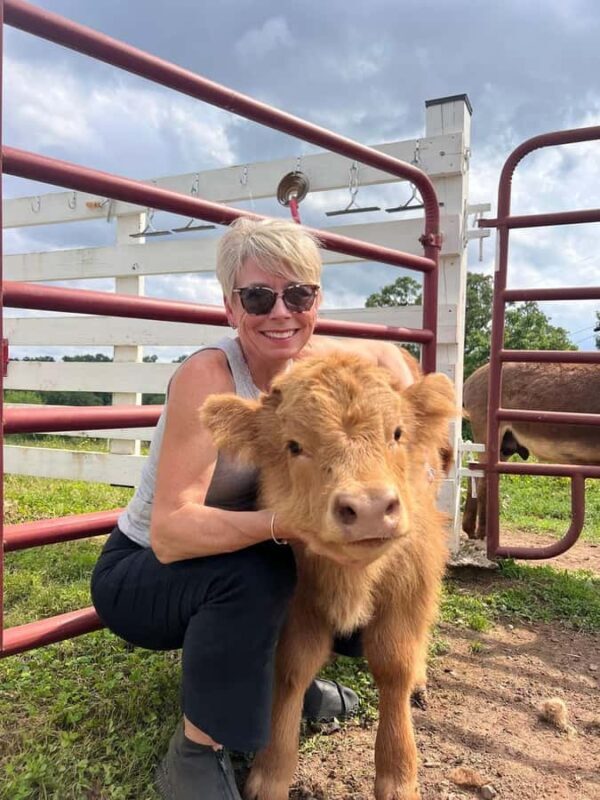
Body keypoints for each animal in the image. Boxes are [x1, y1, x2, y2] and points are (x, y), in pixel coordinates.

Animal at [201, 352, 456, 800]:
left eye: (397, 433)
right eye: (294, 445)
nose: (370, 507)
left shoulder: (411, 582)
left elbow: (395, 666)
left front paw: (398, 776)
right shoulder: (300, 601)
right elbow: (292, 668)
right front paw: (271, 773)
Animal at [462, 361, 600, 540]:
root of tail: (472, 378)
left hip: (504, 447)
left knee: (474, 473)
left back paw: (470, 530)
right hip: (487, 434)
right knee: (483, 480)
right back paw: (482, 533)